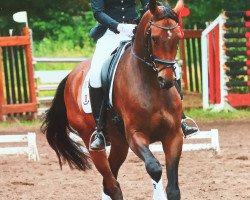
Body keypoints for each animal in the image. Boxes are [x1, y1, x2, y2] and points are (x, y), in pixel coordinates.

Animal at [41, 0, 184, 199]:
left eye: (177, 38)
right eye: (154, 38)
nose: (167, 80)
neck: (152, 87)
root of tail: (71, 76)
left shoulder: (174, 135)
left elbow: (173, 189)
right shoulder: (135, 135)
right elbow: (154, 168)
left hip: (119, 143)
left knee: (109, 179)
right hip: (93, 142)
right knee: (111, 183)